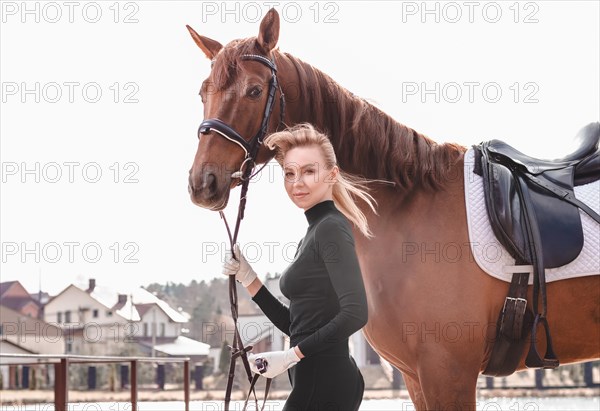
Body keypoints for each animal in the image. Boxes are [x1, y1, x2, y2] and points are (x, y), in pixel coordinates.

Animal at [185, 8, 596, 410]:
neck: (409, 205)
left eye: (254, 91)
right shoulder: (417, 377)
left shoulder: (448, 373)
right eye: (204, 92)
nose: (202, 182)